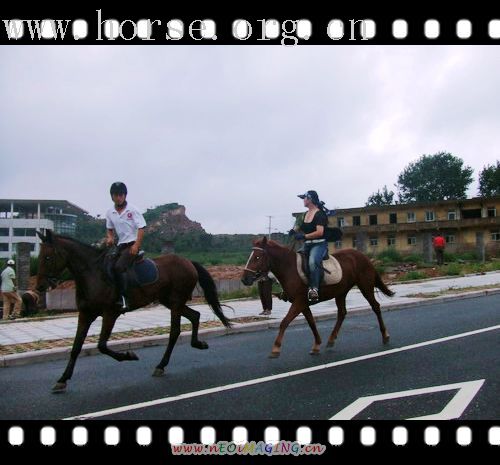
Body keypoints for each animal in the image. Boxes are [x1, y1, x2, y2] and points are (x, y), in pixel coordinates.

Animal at [36, 229, 231, 392]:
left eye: (47, 257)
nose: (39, 287)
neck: (92, 274)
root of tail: (188, 262)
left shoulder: (110, 314)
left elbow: (102, 346)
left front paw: (129, 355)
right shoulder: (85, 315)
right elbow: (76, 347)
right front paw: (62, 380)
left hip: (175, 302)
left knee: (175, 331)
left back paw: (161, 365)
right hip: (169, 301)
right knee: (195, 316)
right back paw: (197, 344)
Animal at [240, 237, 392, 358]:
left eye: (257, 257)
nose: (244, 279)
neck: (289, 268)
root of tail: (363, 257)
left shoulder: (299, 302)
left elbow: (284, 322)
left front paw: (276, 348)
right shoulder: (303, 304)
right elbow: (311, 323)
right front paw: (317, 345)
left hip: (365, 286)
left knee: (375, 306)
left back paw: (385, 336)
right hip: (341, 292)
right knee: (342, 313)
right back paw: (331, 340)